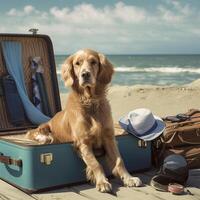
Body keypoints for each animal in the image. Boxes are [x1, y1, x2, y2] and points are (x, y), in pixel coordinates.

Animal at [26, 48, 142, 192]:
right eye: (77, 63)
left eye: (93, 62)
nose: (85, 74)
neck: (90, 101)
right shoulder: (83, 142)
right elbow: (95, 163)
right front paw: (102, 182)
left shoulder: (109, 138)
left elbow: (119, 161)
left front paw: (129, 178)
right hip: (45, 129)